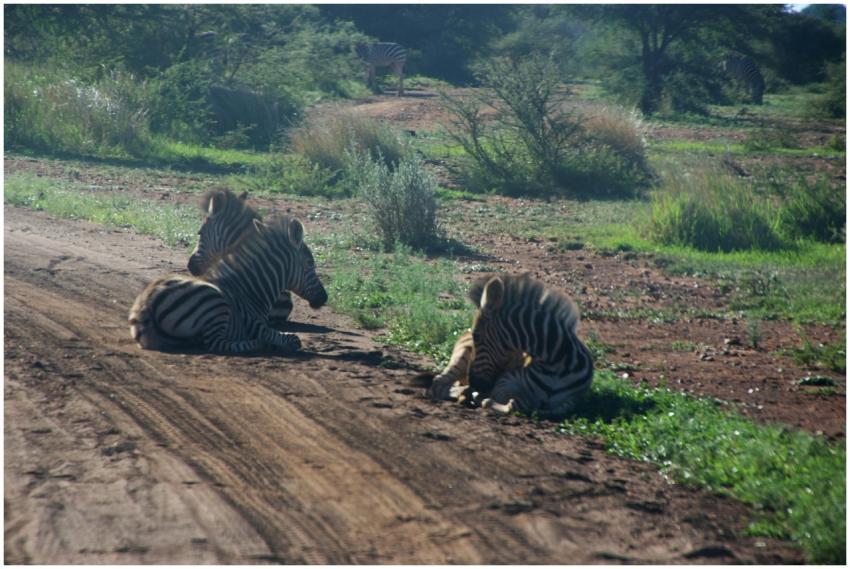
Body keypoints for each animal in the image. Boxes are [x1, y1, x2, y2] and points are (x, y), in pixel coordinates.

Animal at [129, 216, 327, 354]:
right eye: (310, 264)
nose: (324, 297)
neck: (251, 291)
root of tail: (147, 303)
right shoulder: (255, 325)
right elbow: (292, 340)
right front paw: (273, 343)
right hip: (216, 303)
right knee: (216, 344)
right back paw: (258, 345)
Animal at [424, 274, 594, 419]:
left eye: (477, 336)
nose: (474, 382)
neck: (558, 360)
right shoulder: (504, 383)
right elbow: (512, 403)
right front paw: (480, 398)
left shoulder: (571, 400)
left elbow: (542, 408)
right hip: (462, 357)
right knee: (439, 383)